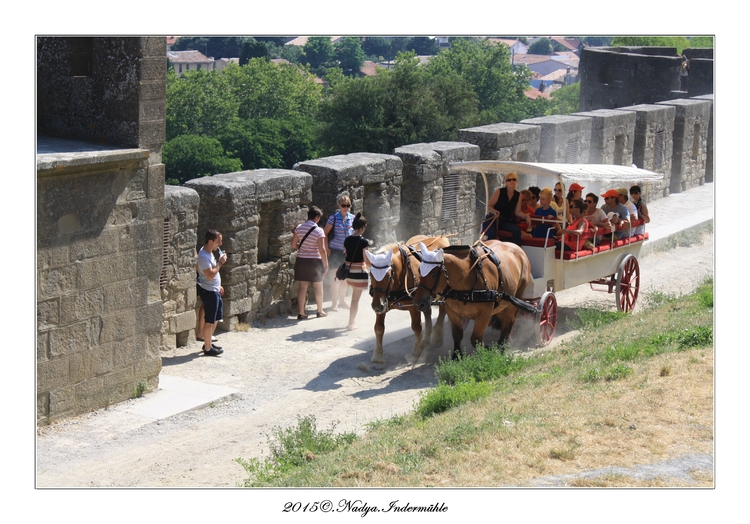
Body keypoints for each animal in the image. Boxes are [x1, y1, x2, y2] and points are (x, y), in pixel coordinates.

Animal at [366, 235, 450, 366]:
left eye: (388, 276)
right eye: (370, 275)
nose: (376, 306)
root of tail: (440, 237)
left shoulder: (414, 306)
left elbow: (416, 327)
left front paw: (417, 352)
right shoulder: (383, 304)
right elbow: (379, 328)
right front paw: (378, 355)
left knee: (442, 310)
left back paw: (436, 338)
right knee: (428, 312)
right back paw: (427, 339)